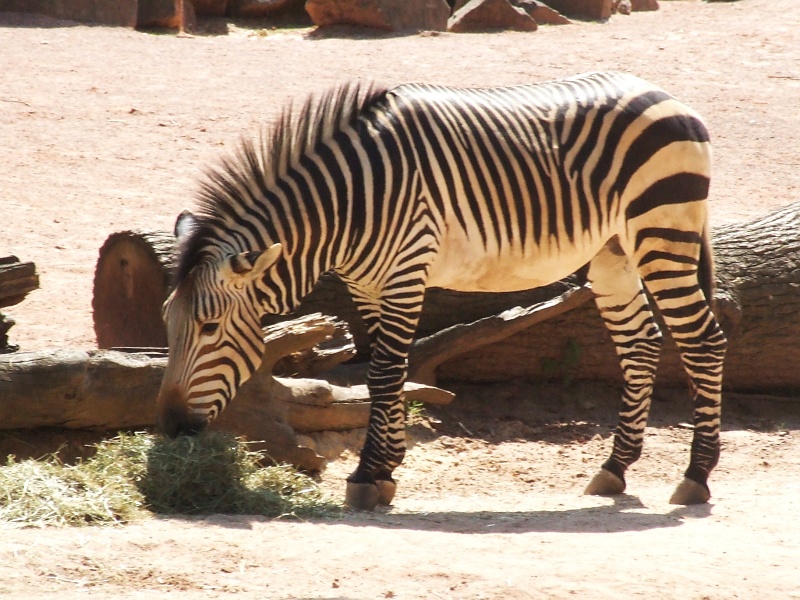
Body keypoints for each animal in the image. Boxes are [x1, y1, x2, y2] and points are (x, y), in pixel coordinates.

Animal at [157, 71, 727, 511]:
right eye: (168, 322)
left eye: (209, 327)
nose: (169, 425)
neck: (348, 204)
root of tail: (669, 97)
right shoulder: (366, 284)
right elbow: (379, 372)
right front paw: (387, 468)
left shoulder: (407, 271)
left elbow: (386, 372)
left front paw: (368, 474)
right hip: (613, 253)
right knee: (641, 345)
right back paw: (615, 468)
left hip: (662, 233)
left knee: (703, 341)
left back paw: (696, 476)